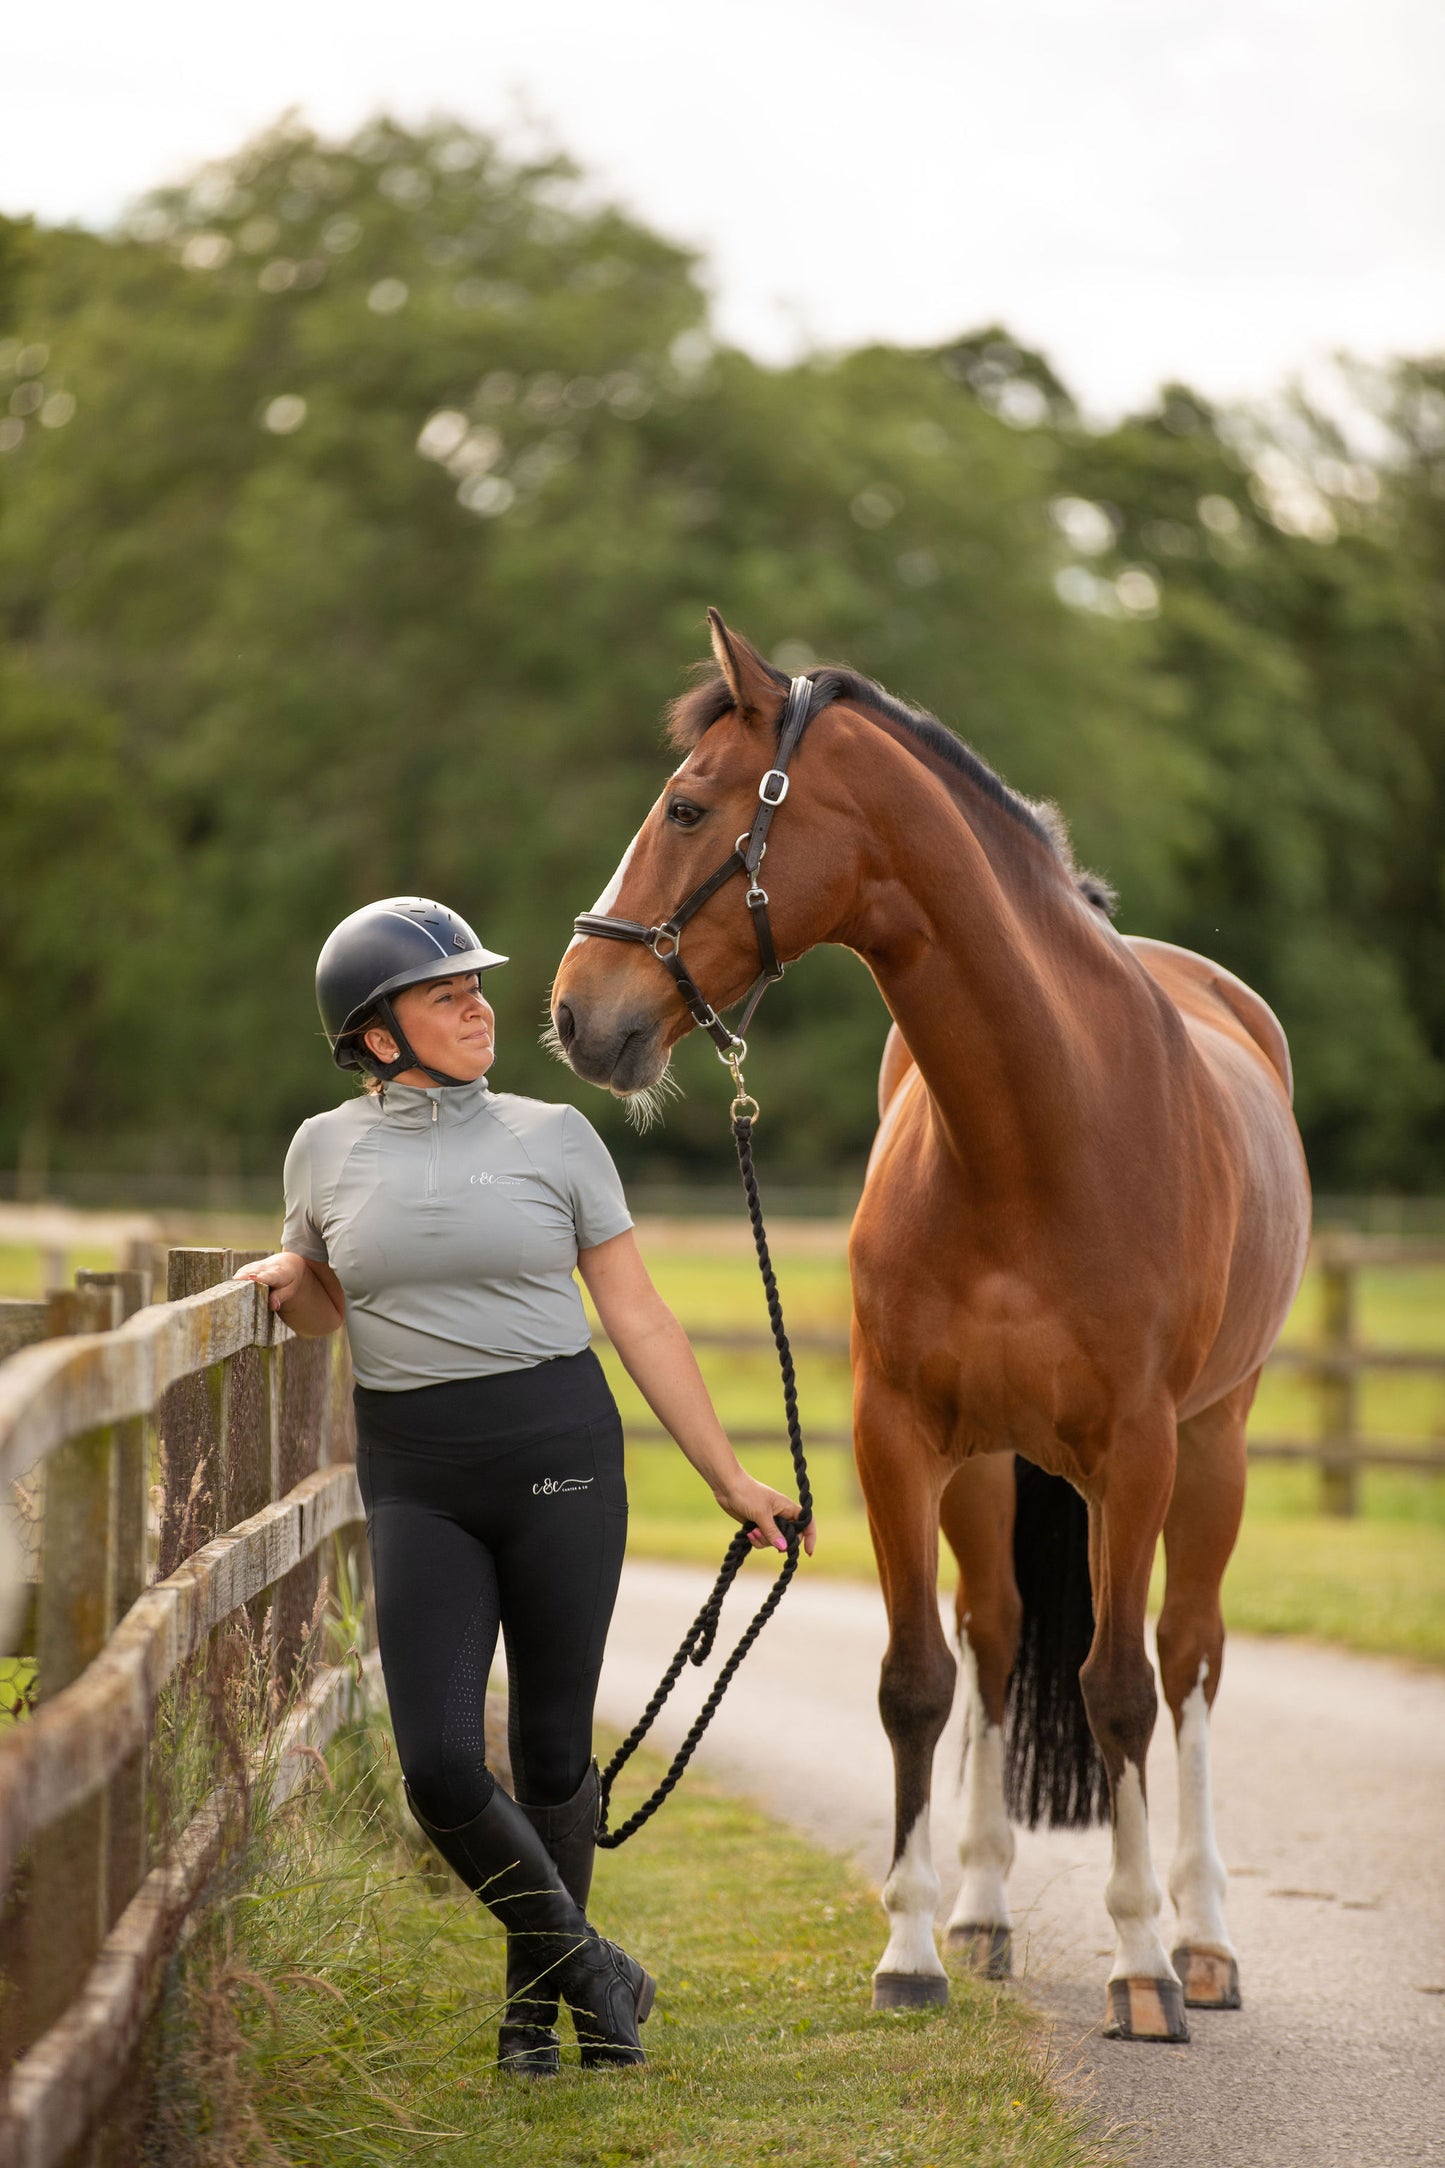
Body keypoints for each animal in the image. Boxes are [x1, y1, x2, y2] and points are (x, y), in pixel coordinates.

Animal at [550, 615, 1308, 2046]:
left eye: (686, 806)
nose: (577, 1012)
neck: (1037, 1128)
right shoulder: (897, 1437)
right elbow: (916, 1676)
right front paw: (908, 1946)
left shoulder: (1134, 1452)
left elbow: (1119, 1689)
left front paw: (1136, 1964)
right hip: (990, 1468)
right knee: (998, 1638)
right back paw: (984, 1910)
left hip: (1211, 1449)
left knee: (1183, 1660)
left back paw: (1200, 1935)